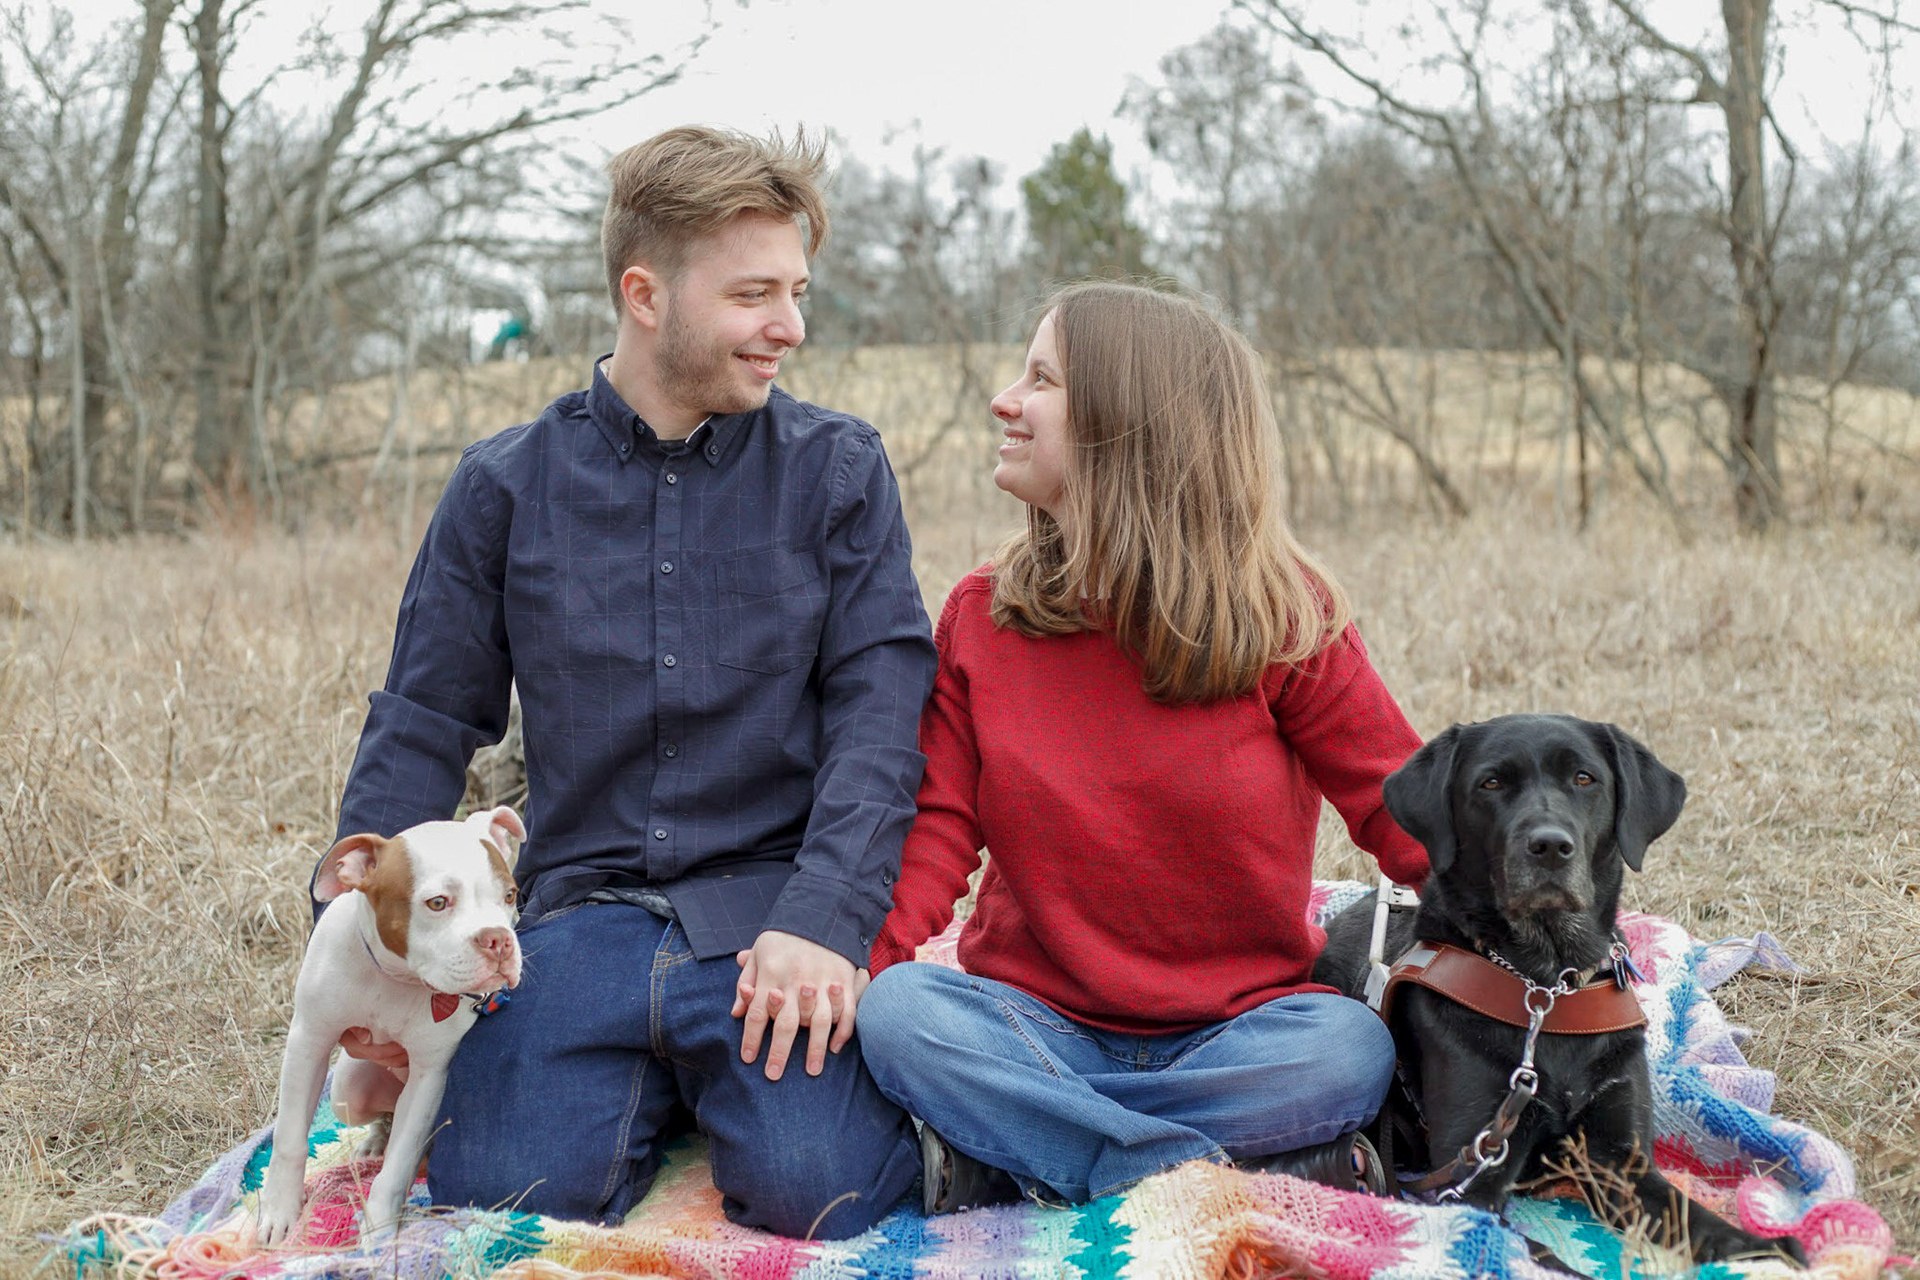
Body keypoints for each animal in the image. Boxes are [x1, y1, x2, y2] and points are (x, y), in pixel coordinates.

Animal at [257, 806, 525, 1245]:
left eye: (510, 895)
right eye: (438, 902)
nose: (498, 939)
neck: (399, 979)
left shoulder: (429, 1077)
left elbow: (398, 1165)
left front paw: (379, 1229)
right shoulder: (309, 1041)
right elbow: (289, 1139)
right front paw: (280, 1211)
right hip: (348, 1090)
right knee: (379, 1113)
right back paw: (374, 1143)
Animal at [1314, 714, 1802, 1267]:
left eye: (1585, 779)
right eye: (1491, 783)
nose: (1549, 846)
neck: (1546, 989)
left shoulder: (1619, 1159)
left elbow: (1694, 1219)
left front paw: (1770, 1250)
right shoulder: (1470, 1184)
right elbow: (1538, 1256)